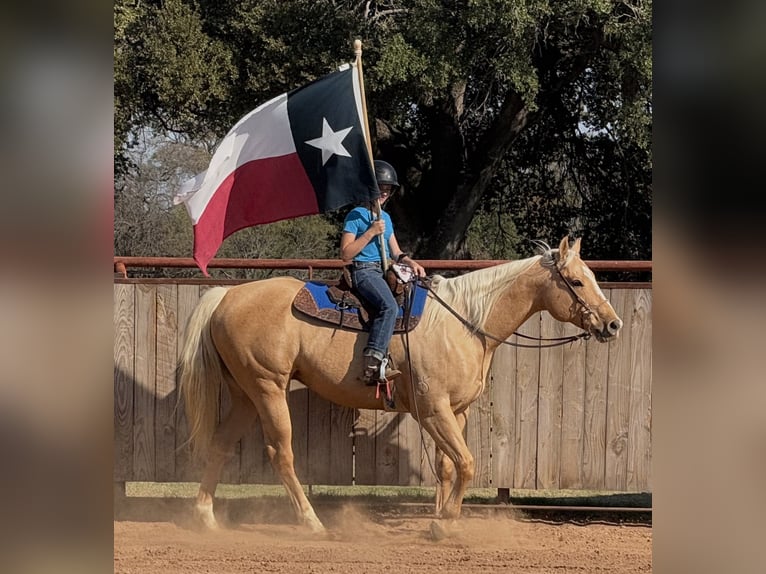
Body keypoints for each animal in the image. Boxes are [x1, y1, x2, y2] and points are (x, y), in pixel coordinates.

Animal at [177, 236, 623, 533]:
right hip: (268, 388)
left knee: (220, 445)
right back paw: (311, 521)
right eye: (577, 282)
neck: (464, 323)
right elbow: (467, 463)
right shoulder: (434, 409)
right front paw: (445, 524)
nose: (613, 324)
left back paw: (205, 518)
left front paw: (442, 518)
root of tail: (226, 297)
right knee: (281, 454)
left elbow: (448, 467)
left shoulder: (455, 412)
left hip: (245, 393)